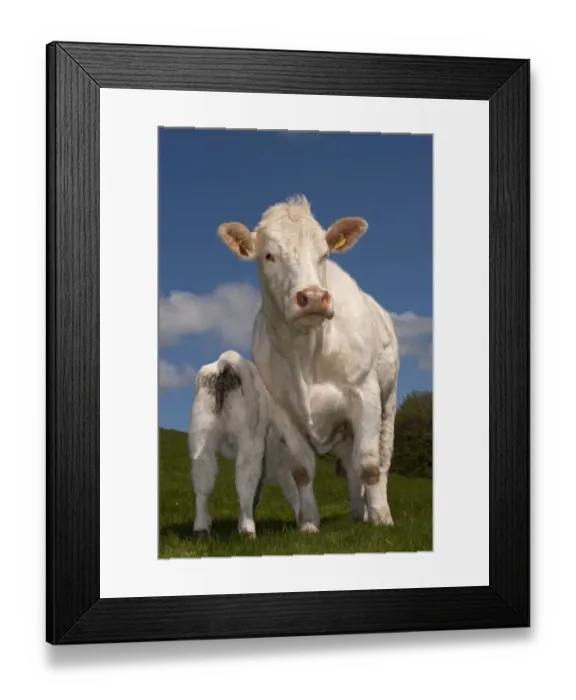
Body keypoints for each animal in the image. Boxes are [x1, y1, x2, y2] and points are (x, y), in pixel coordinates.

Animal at [188, 349, 315, 538]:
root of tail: (225, 363)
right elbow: (301, 481)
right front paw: (308, 524)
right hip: (250, 440)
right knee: (245, 483)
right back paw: (248, 529)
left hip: (202, 435)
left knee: (203, 482)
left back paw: (202, 529)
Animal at [217, 195, 400, 533]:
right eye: (269, 255)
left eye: (324, 254)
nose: (314, 297)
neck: (306, 354)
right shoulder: (283, 410)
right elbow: (303, 468)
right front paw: (309, 523)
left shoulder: (365, 395)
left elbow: (368, 464)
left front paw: (381, 520)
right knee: (349, 465)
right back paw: (359, 513)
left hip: (388, 403)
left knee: (380, 460)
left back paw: (373, 512)